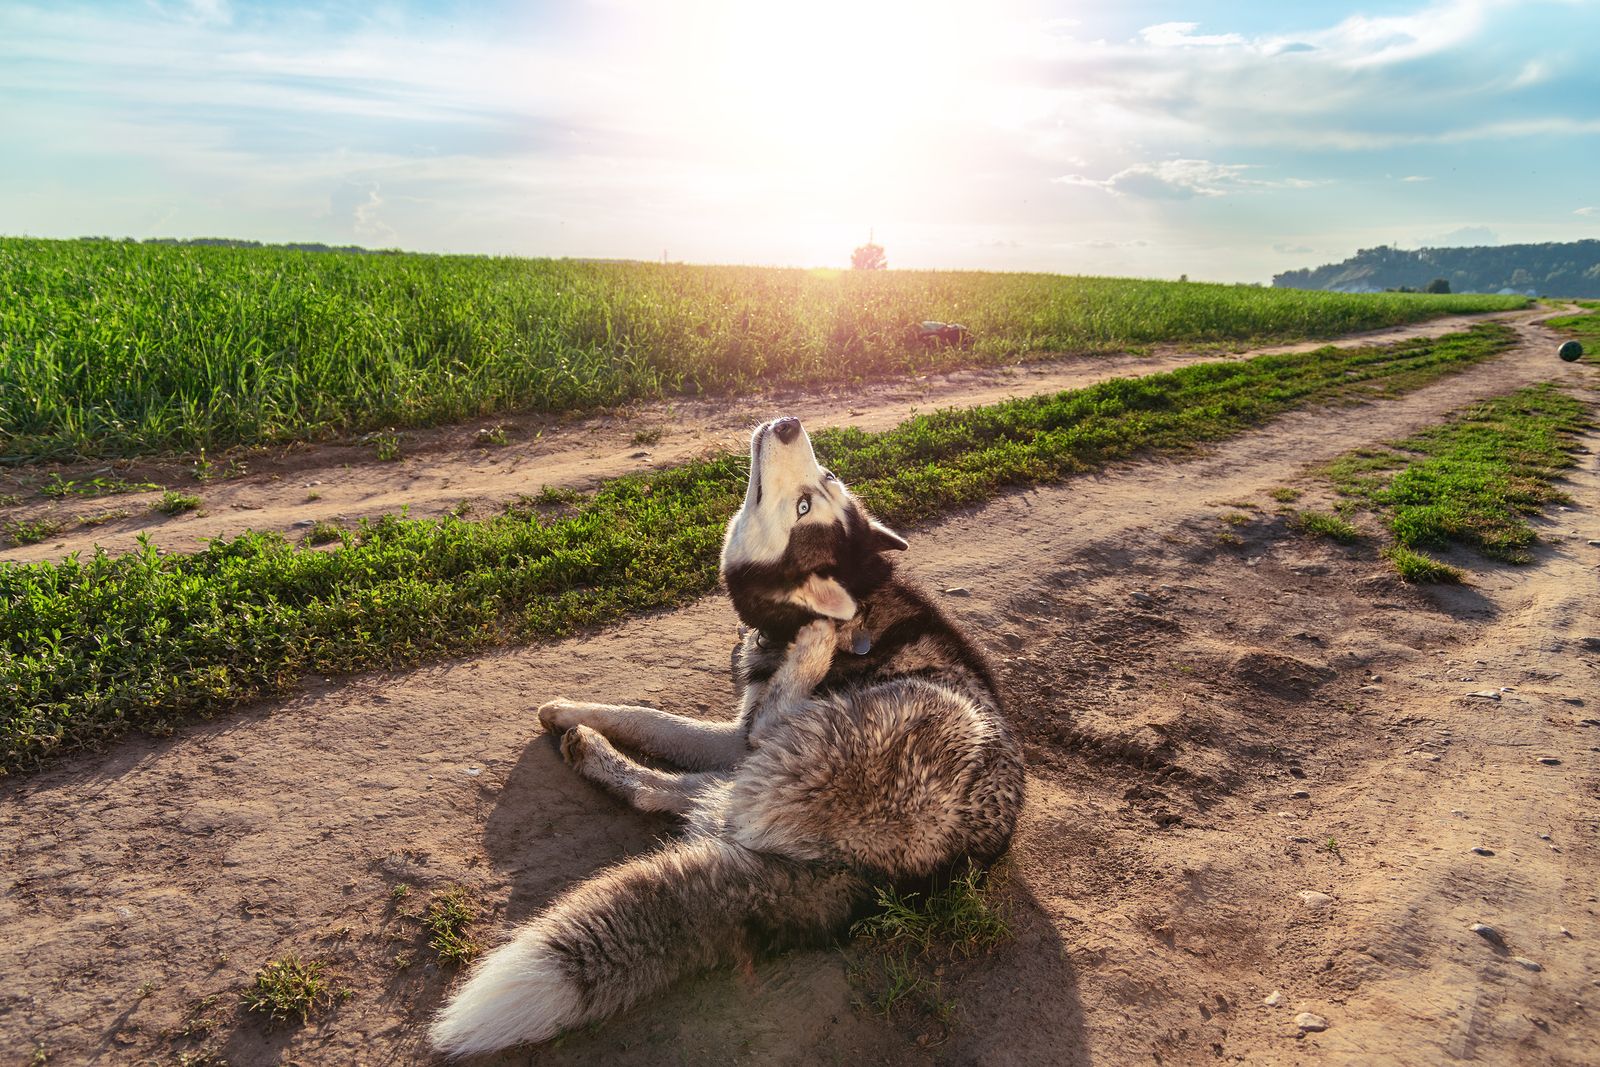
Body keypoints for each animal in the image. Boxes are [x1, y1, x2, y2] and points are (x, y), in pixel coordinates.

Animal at [428, 415, 1024, 1062]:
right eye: (825, 480)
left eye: (804, 504)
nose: (789, 423)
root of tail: (885, 880)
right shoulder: (732, 737)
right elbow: (650, 717)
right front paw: (567, 709)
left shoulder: (747, 737)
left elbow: (665, 721)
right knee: (685, 795)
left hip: (876, 736)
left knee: (693, 789)